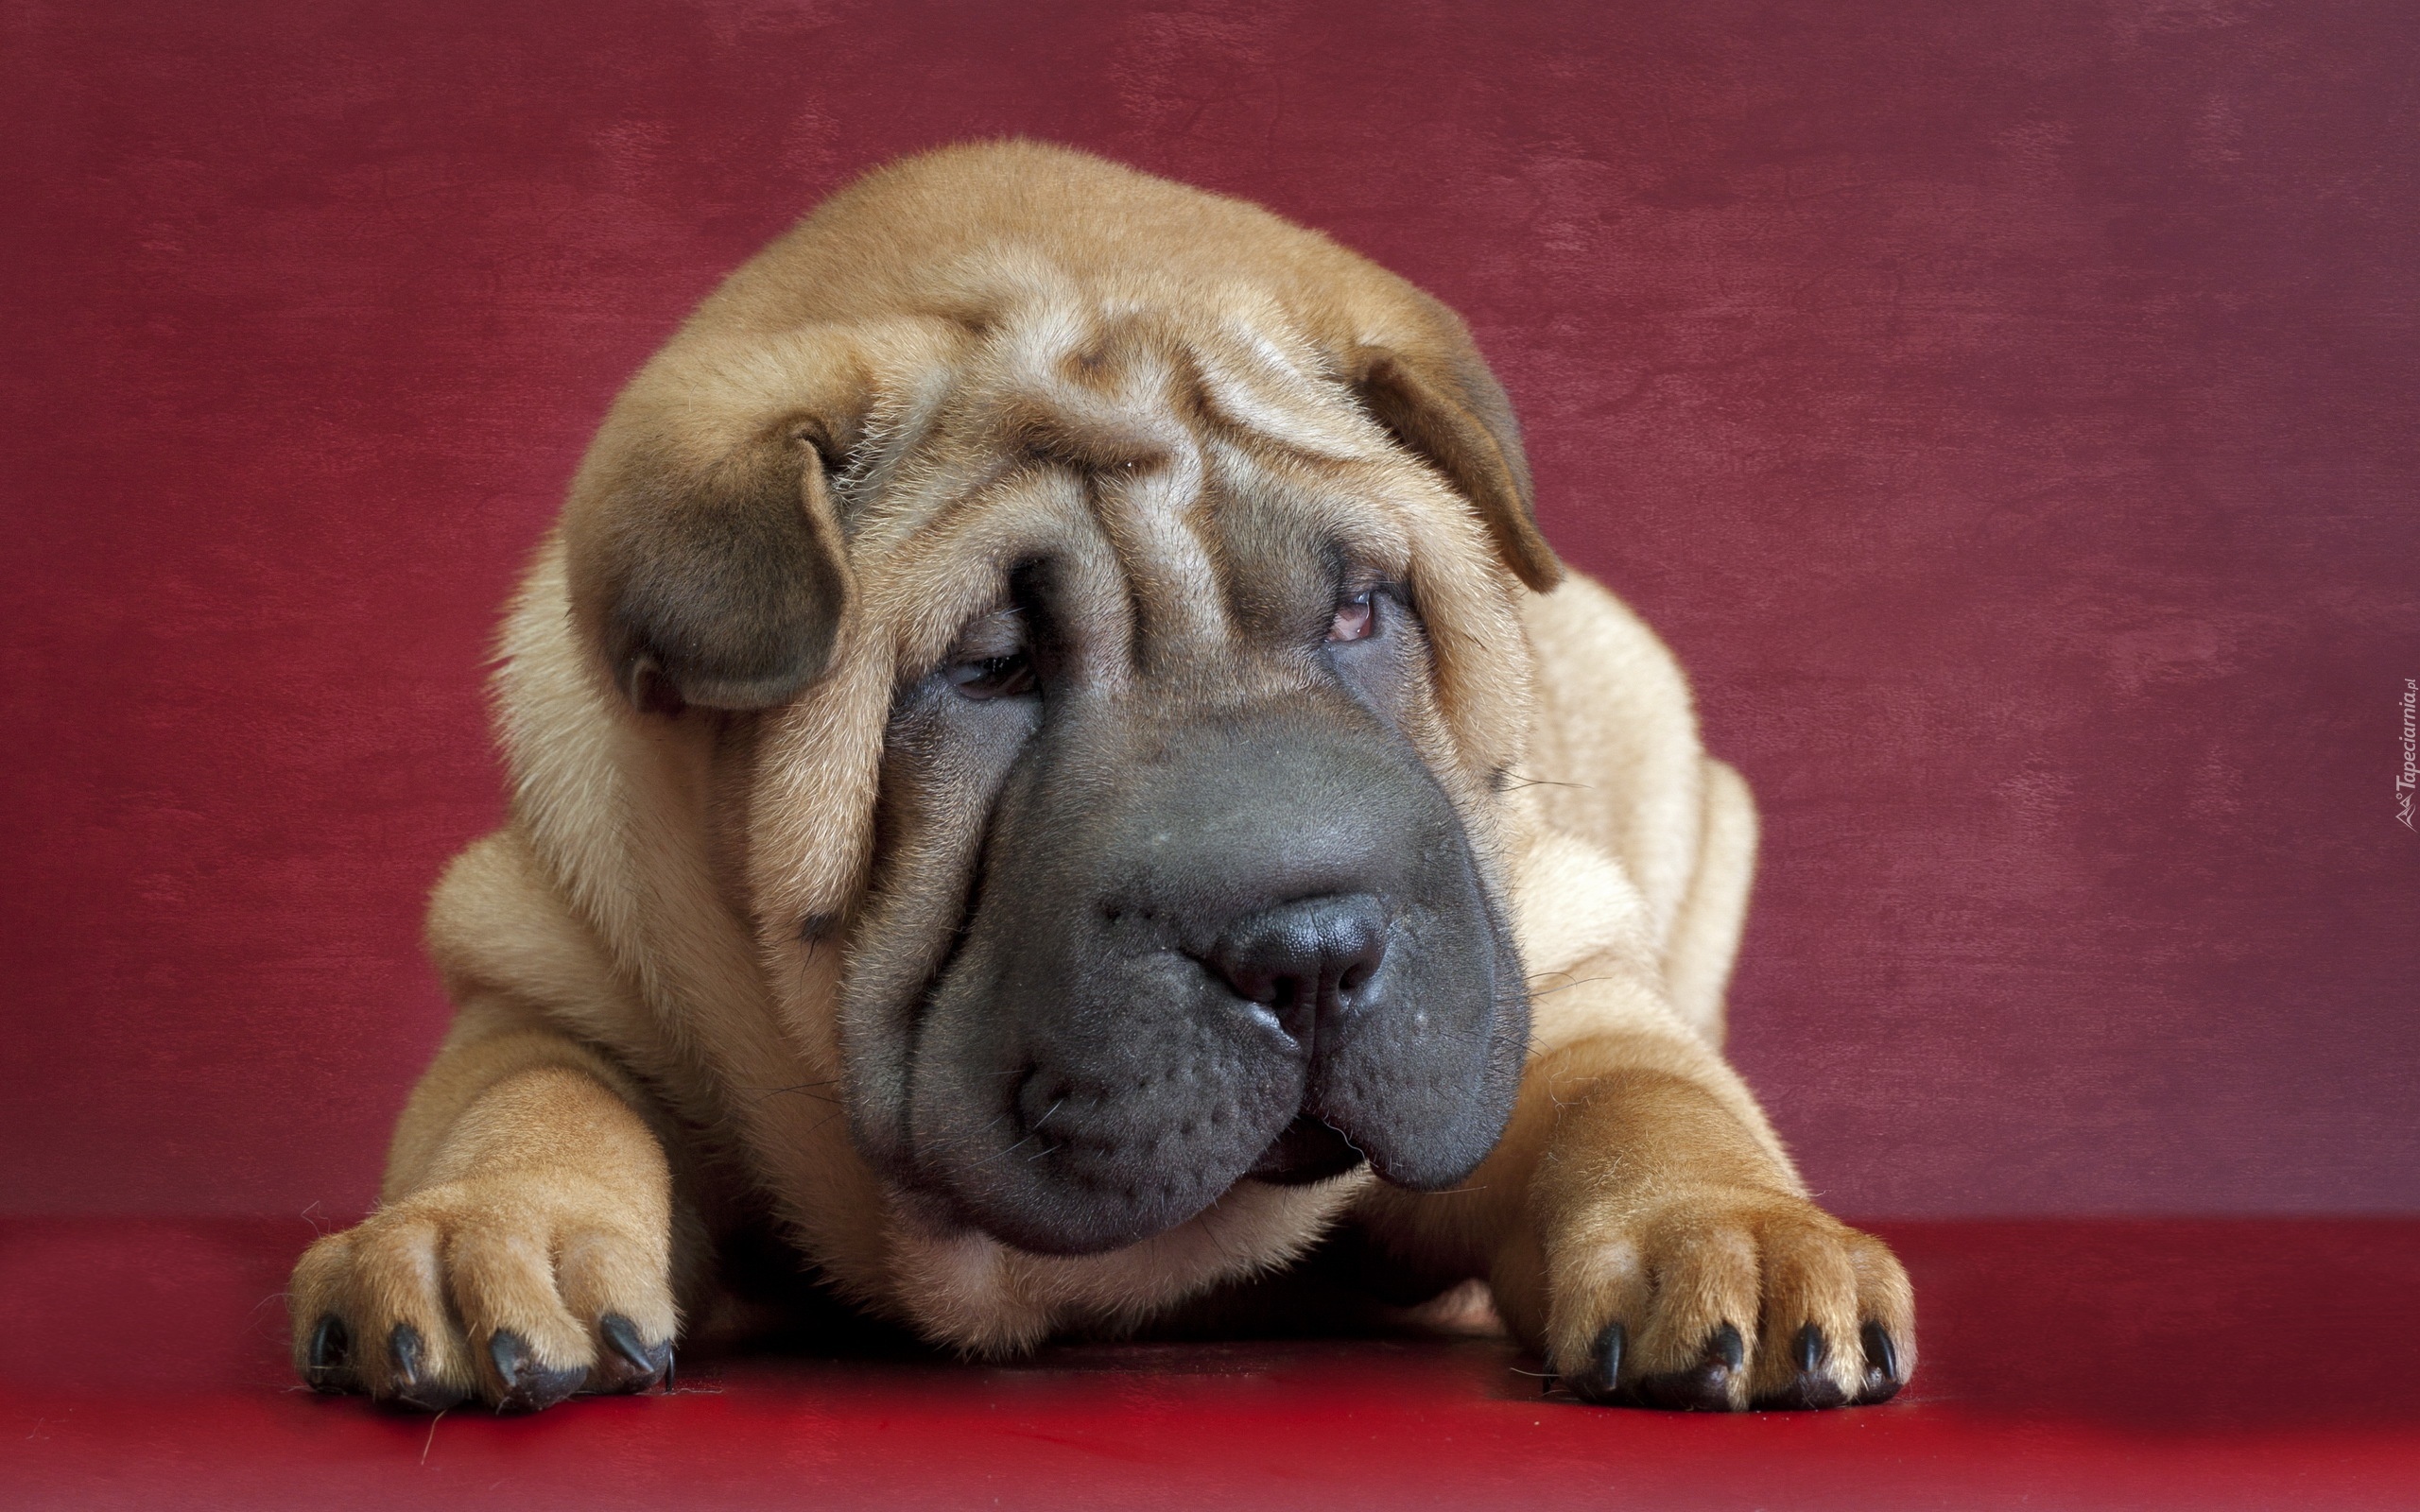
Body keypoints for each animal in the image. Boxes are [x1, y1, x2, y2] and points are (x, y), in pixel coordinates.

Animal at [283, 138, 1907, 1413]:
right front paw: (472, 1237)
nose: (1311, 953)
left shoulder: (1550, 973)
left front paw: (1740, 1237)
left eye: (1362, 610)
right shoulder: (554, 975)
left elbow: (1645, 1098)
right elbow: (528, 1095)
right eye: (993, 669)